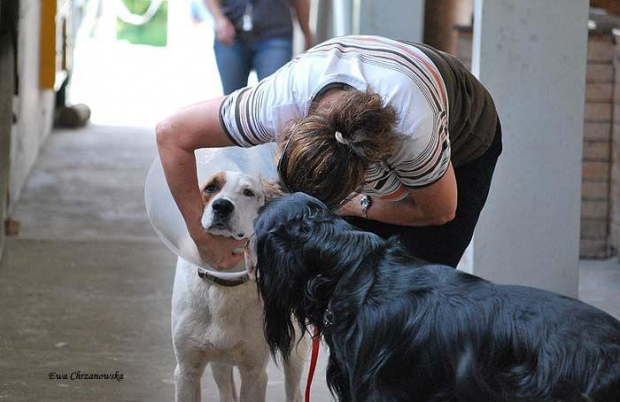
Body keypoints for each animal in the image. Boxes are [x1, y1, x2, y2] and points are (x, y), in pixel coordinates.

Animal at [171, 171, 308, 402]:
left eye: (248, 192)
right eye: (211, 187)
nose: (222, 206)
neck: (225, 282)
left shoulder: (254, 373)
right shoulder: (186, 370)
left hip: (294, 349)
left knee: (294, 389)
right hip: (219, 364)